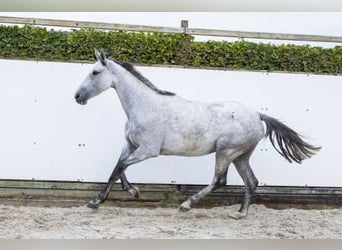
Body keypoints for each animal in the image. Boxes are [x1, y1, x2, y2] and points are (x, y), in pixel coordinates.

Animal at [74, 49, 320, 219]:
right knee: (251, 181)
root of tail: (258, 115)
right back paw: (240, 213)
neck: (145, 107)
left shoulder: (148, 150)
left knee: (219, 180)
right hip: (240, 156)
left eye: (95, 72)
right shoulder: (131, 145)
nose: (77, 96)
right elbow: (117, 168)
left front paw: (101, 200)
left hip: (226, 151)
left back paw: (186, 205)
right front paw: (126, 193)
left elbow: (121, 167)